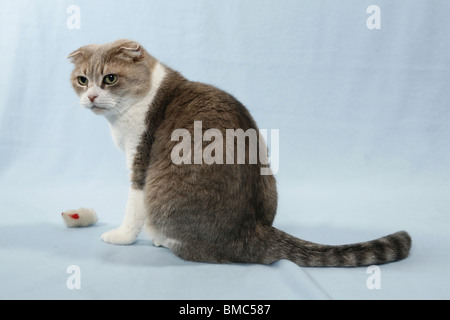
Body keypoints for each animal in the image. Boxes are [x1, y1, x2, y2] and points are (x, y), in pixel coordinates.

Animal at [67, 38, 412, 266]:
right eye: (82, 80)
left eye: (110, 78)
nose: (91, 96)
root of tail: (252, 231)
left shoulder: (140, 163)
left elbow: (132, 208)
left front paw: (121, 235)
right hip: (268, 175)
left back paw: (161, 238)